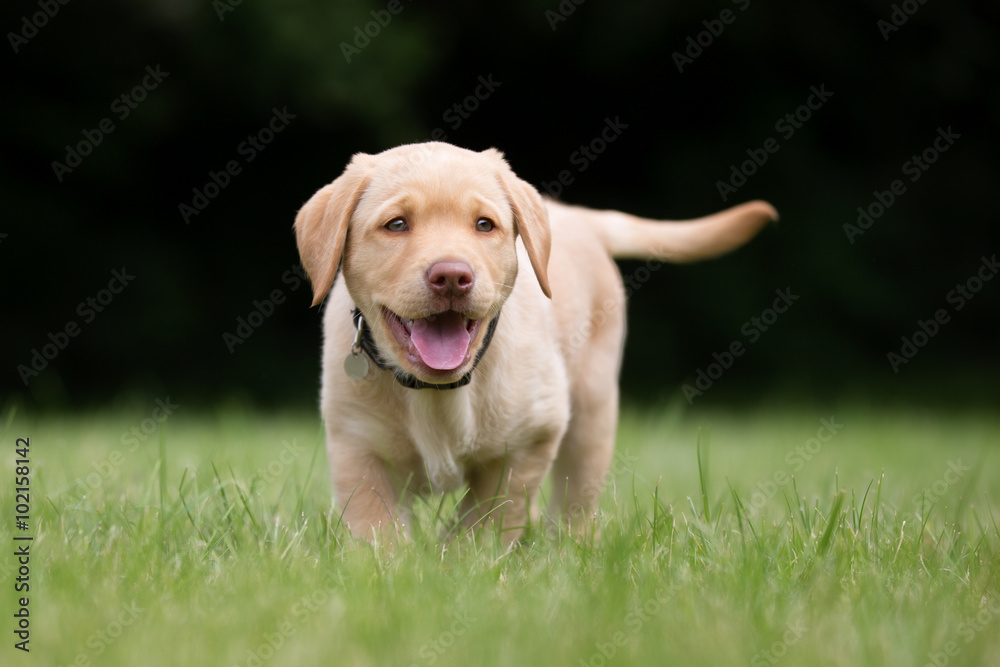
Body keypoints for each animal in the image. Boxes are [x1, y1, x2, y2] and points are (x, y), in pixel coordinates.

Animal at [292, 144, 776, 544]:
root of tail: (576, 215)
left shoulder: (530, 439)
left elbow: (488, 517)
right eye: (396, 224)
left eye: (484, 224)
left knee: (575, 504)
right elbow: (377, 528)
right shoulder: (356, 448)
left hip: (592, 414)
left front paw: (462, 560)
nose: (451, 276)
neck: (438, 391)